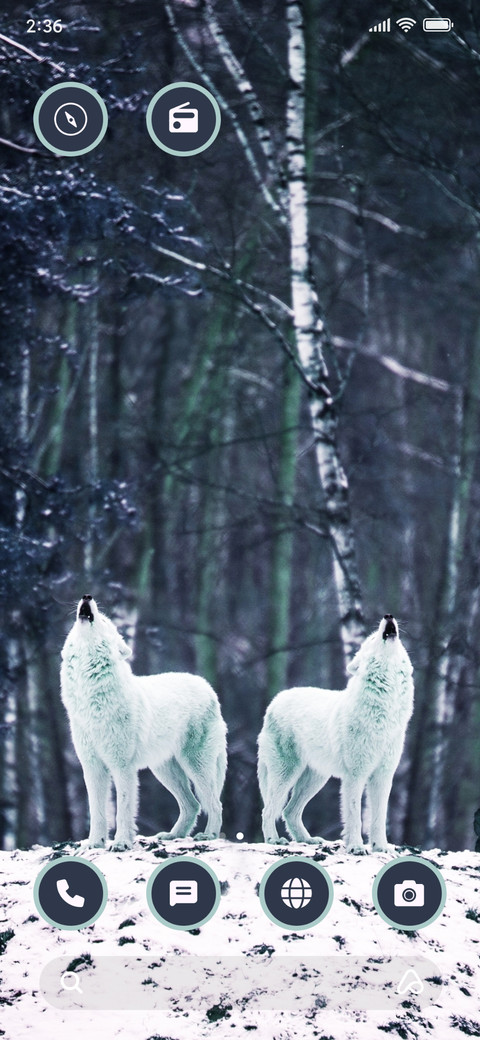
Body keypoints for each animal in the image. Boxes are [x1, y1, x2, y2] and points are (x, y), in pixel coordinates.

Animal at [61, 595, 227, 850]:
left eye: (105, 621)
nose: (87, 597)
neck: (91, 699)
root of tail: (208, 688)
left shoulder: (122, 767)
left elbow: (123, 809)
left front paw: (121, 843)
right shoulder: (92, 766)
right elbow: (97, 811)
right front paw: (95, 843)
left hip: (195, 765)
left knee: (214, 804)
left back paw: (208, 836)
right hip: (165, 770)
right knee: (193, 805)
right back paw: (172, 836)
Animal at [257, 615, 414, 853]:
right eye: (371, 638)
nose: (388, 616)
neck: (385, 712)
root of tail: (275, 702)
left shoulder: (383, 776)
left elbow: (379, 817)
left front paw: (380, 847)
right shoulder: (355, 775)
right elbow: (354, 815)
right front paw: (356, 847)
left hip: (315, 779)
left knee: (289, 811)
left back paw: (308, 840)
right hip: (286, 774)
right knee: (269, 810)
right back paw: (274, 840)